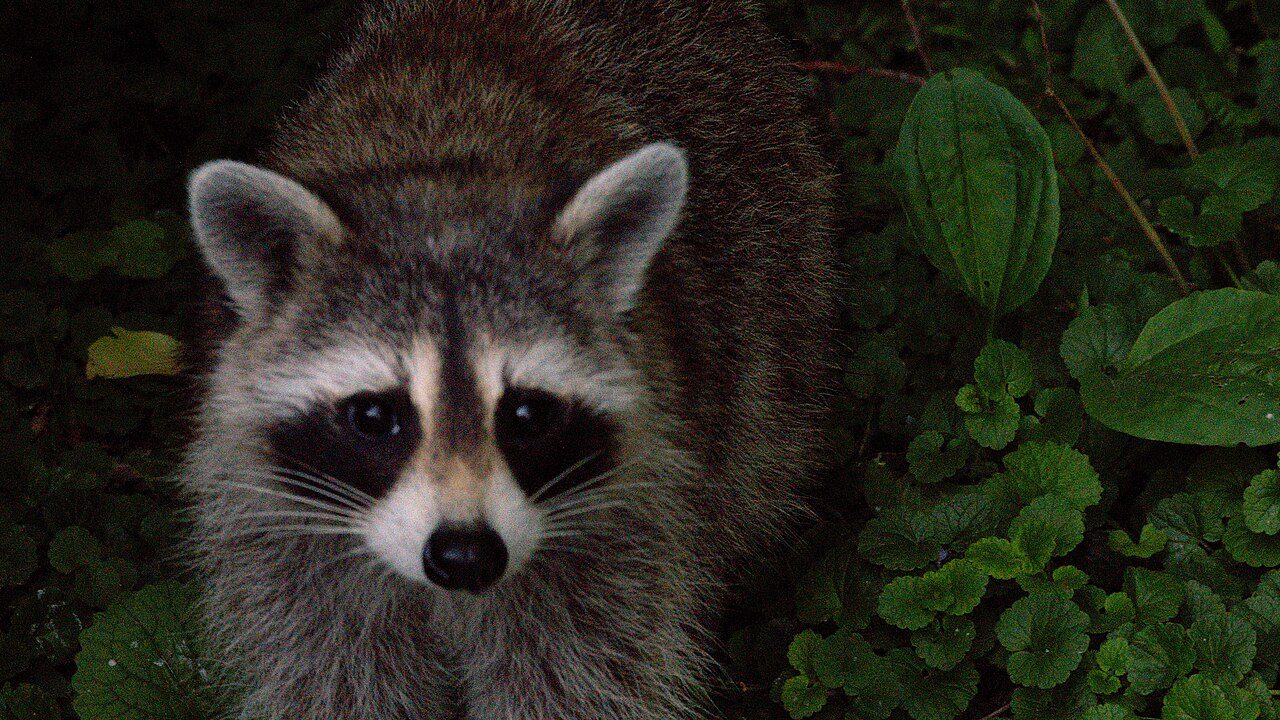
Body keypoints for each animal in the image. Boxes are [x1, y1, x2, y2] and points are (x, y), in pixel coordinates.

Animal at [183, 1, 832, 718]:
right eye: (376, 416)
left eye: (525, 413)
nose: (465, 554)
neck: (441, 174)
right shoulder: (279, 534)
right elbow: (335, 678)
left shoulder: (623, 524)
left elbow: (580, 681)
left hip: (775, 284)